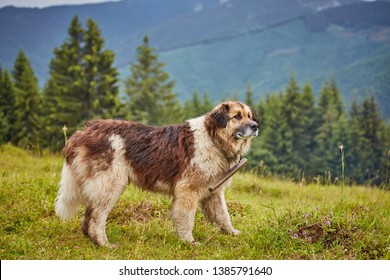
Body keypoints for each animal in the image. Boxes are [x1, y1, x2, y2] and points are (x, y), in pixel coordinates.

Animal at [53, 100, 258, 247]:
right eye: (237, 116)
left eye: (249, 116)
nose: (255, 126)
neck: (212, 139)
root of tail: (83, 131)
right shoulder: (187, 191)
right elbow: (187, 219)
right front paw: (189, 242)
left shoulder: (213, 192)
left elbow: (223, 216)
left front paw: (232, 233)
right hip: (110, 185)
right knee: (96, 217)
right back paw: (104, 244)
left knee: (88, 215)